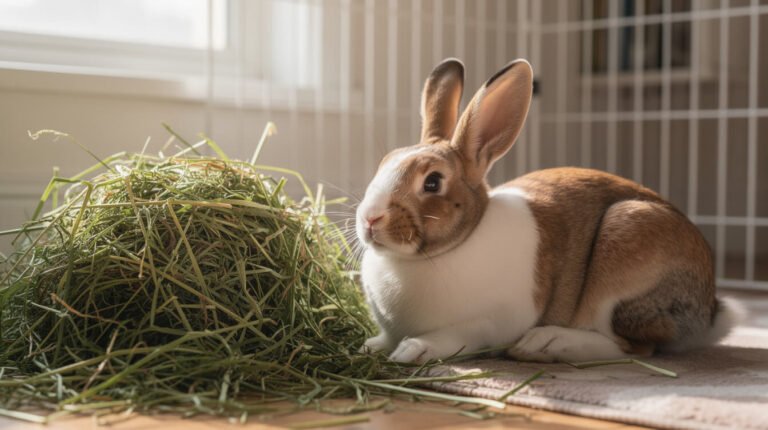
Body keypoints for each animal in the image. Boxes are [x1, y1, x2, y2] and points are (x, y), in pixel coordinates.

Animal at [355, 58, 741, 364]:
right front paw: (369, 347)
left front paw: (412, 350)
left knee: (630, 348)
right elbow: (385, 338)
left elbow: (454, 337)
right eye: (383, 164)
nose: (369, 219)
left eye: (433, 182)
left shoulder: (488, 323)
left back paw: (545, 344)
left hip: (625, 249)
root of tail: (708, 312)